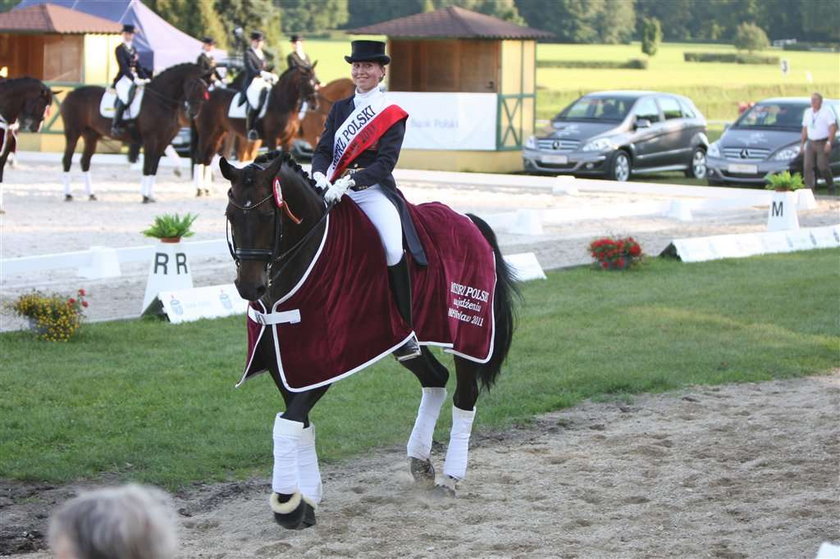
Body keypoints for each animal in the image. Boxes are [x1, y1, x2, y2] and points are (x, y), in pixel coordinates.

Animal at [60, 62, 209, 202]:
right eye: (193, 84)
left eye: (205, 88)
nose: (193, 113)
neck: (160, 101)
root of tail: (70, 94)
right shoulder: (150, 139)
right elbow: (147, 167)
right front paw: (145, 197)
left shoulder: (163, 140)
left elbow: (154, 167)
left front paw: (151, 195)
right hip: (73, 133)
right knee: (67, 160)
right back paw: (68, 195)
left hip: (91, 136)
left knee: (85, 162)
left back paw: (91, 195)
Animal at [190, 65, 318, 196]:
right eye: (306, 81)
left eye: (315, 81)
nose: (314, 104)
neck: (282, 104)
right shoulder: (273, 138)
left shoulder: (287, 140)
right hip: (207, 132)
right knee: (200, 156)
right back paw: (200, 190)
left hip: (218, 133)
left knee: (208, 158)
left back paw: (207, 190)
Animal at [218, 151, 520, 532]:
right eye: (231, 215)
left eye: (267, 215)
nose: (249, 287)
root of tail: (469, 219)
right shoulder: (287, 365)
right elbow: (300, 424)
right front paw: (308, 500)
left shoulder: (326, 363)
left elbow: (286, 423)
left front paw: (289, 505)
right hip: (406, 341)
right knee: (435, 379)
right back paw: (420, 464)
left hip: (469, 334)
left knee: (465, 396)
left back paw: (450, 480)